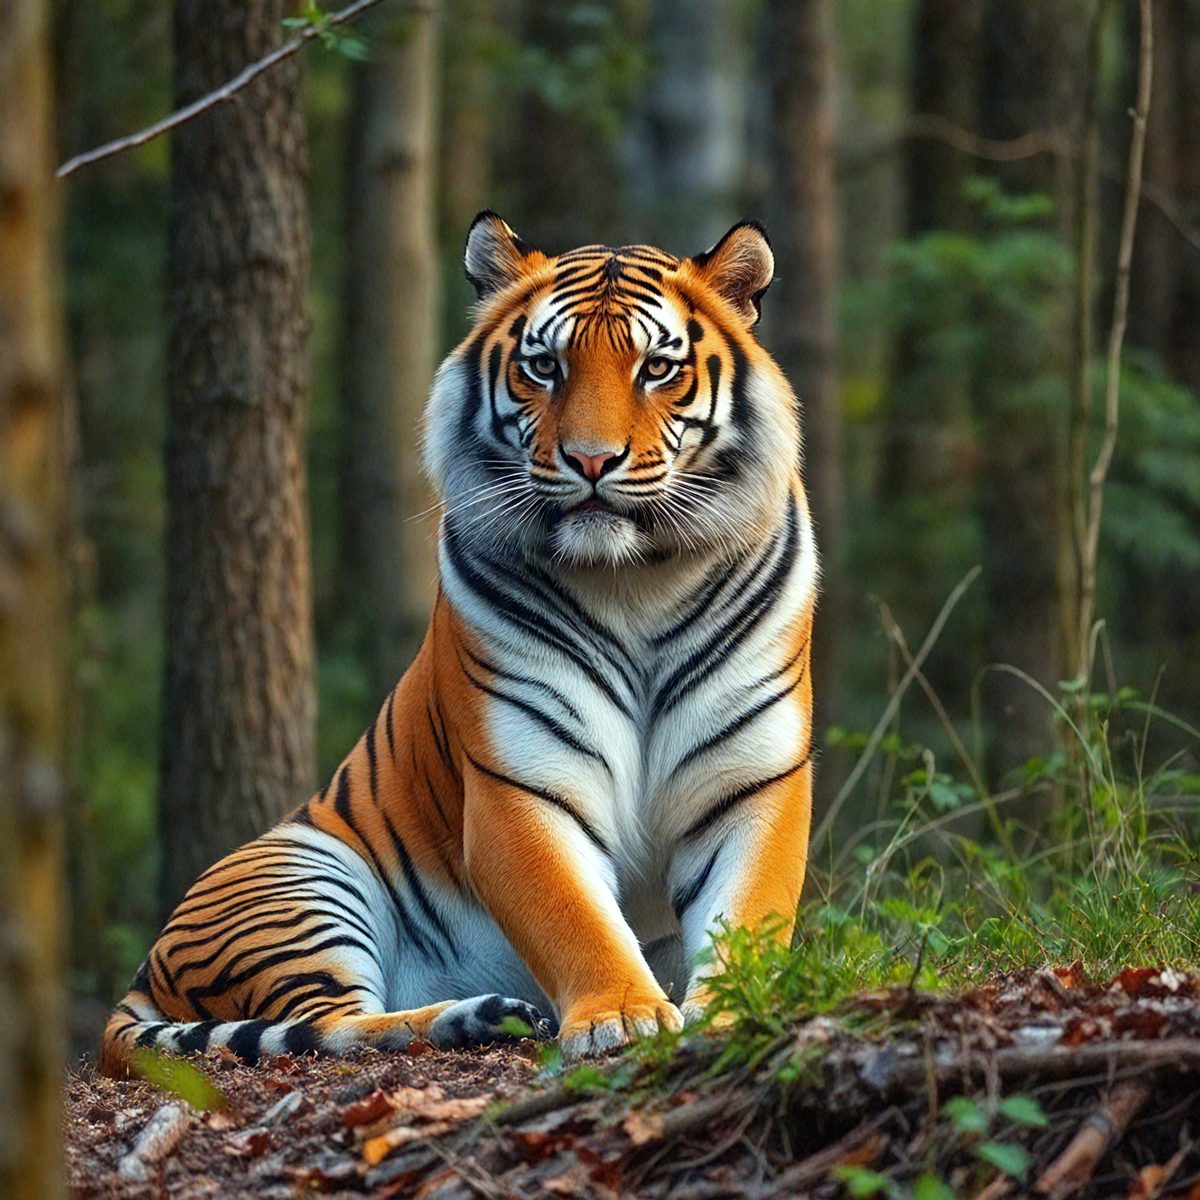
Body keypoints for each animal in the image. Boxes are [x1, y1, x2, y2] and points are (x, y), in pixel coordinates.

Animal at [100, 212, 817, 1076]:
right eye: (544, 366)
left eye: (656, 368)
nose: (591, 461)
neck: (635, 581)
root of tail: (144, 971)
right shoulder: (520, 786)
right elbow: (573, 916)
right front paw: (622, 1015)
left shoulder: (752, 780)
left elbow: (750, 917)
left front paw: (736, 1010)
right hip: (300, 876)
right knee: (330, 1025)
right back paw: (474, 1017)